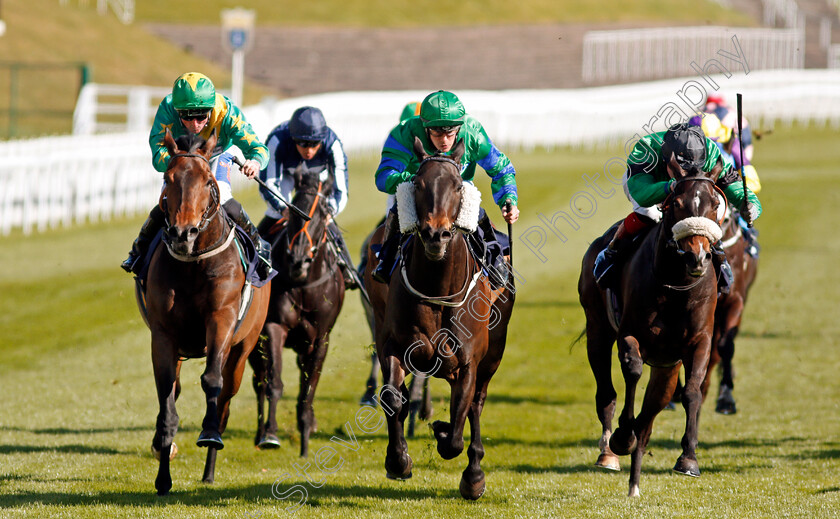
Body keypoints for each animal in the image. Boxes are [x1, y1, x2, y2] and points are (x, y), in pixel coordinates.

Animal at [143, 129, 270, 496]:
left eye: (208, 181)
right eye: (168, 179)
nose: (182, 233)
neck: (192, 264)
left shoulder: (221, 320)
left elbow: (212, 380)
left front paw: (209, 433)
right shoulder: (163, 335)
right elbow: (167, 396)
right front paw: (163, 466)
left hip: (243, 349)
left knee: (226, 399)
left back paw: (209, 470)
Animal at [249, 164, 344, 460]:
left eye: (323, 212)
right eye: (294, 209)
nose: (298, 260)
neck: (303, 284)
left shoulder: (320, 339)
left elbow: (308, 391)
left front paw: (304, 440)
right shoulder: (273, 328)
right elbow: (274, 383)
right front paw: (270, 434)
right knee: (259, 380)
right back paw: (259, 433)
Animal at [364, 138, 516, 500]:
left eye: (458, 185)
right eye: (418, 183)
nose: (437, 235)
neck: (437, 289)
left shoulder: (469, 361)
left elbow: (459, 421)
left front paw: (445, 433)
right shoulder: (394, 345)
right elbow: (392, 397)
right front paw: (398, 460)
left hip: (494, 353)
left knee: (477, 404)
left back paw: (474, 475)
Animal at [580, 156, 724, 498]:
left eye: (715, 204)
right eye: (677, 203)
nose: (698, 256)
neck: (676, 287)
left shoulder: (699, 341)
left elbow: (692, 392)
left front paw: (688, 458)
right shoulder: (629, 334)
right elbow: (632, 371)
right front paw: (623, 435)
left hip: (666, 366)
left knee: (653, 411)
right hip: (597, 331)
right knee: (606, 392)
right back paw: (609, 452)